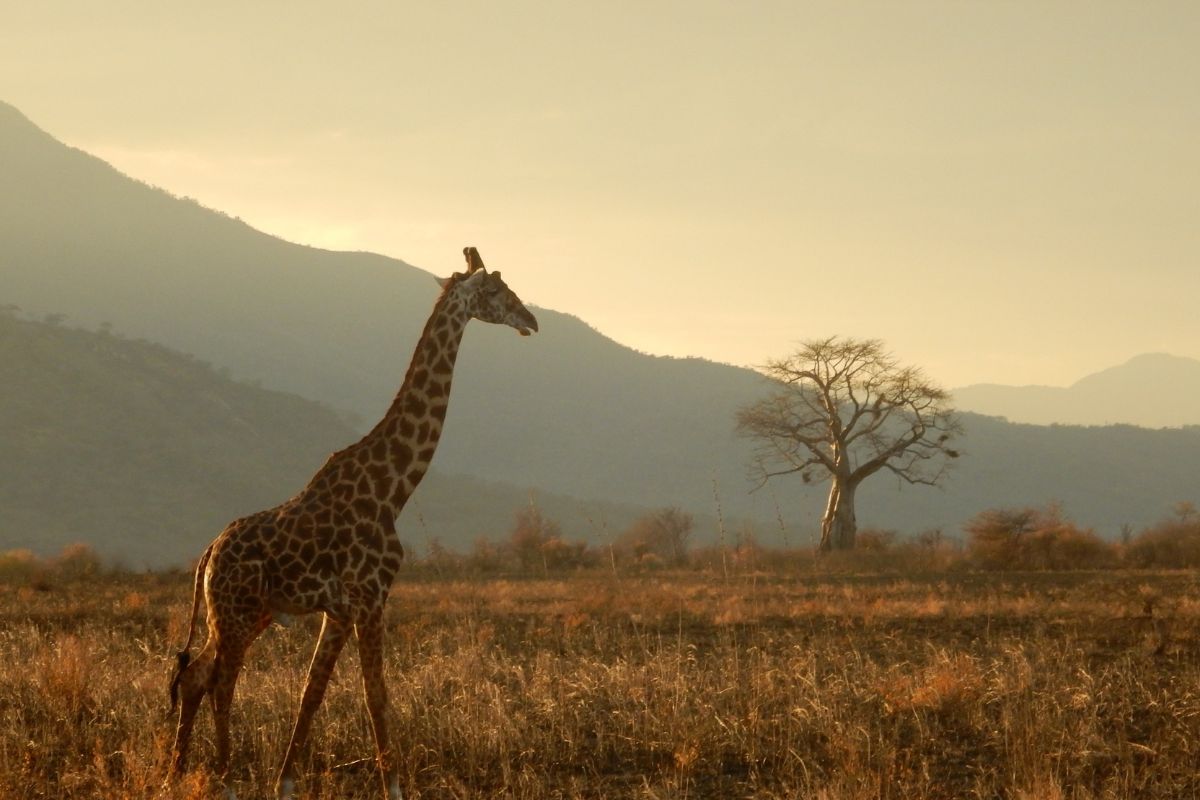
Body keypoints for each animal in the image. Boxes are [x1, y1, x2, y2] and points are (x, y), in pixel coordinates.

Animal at [165, 247, 540, 796]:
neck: (393, 490)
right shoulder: (370, 597)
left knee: (196, 676)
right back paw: (224, 779)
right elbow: (375, 695)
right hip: (236, 612)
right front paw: (395, 787)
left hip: (246, 614)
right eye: (495, 291)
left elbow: (312, 692)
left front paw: (285, 783)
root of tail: (209, 553)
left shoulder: (339, 609)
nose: (531, 320)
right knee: (221, 683)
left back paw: (174, 774)